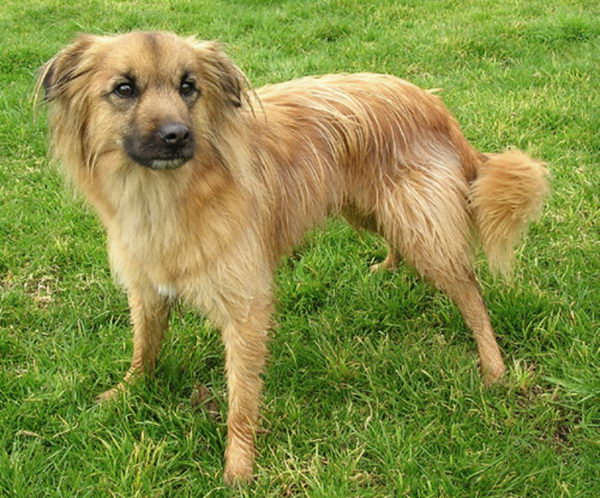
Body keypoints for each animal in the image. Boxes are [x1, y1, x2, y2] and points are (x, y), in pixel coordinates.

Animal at [38, 30, 548, 482]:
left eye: (189, 87)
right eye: (124, 88)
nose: (176, 135)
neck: (169, 193)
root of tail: (433, 103)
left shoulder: (246, 306)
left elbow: (241, 397)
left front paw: (239, 467)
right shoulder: (147, 286)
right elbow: (144, 346)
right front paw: (126, 391)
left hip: (421, 226)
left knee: (470, 292)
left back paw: (493, 366)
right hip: (368, 207)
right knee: (398, 243)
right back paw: (386, 268)